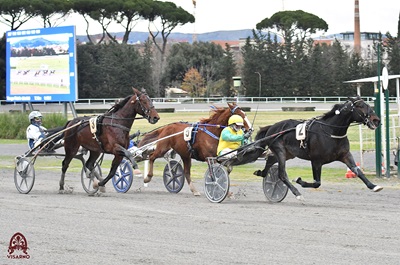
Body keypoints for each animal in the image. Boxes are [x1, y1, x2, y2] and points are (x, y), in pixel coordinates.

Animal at [253, 95, 382, 200]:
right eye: (360, 106)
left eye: (367, 104)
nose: (376, 120)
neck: (331, 131)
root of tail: (271, 127)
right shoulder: (316, 160)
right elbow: (317, 183)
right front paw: (299, 180)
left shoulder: (345, 155)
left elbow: (358, 171)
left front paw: (374, 186)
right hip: (280, 152)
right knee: (281, 174)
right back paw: (297, 193)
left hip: (288, 154)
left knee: (270, 161)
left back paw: (261, 173)